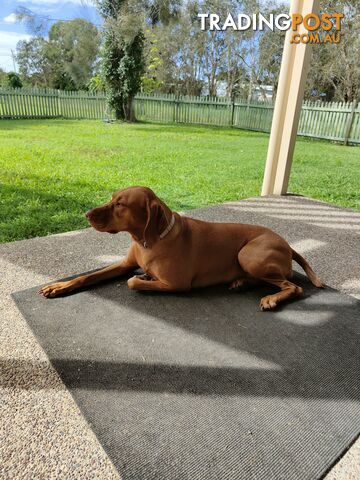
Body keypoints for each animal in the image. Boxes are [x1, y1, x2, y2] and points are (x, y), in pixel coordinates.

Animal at [39, 186, 324, 310]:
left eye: (120, 204)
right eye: (112, 198)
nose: (86, 214)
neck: (148, 240)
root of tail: (287, 244)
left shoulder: (178, 284)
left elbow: (132, 282)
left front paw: (145, 278)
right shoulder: (125, 264)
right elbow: (87, 276)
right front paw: (59, 286)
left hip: (249, 254)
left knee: (293, 286)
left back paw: (272, 297)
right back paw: (242, 282)